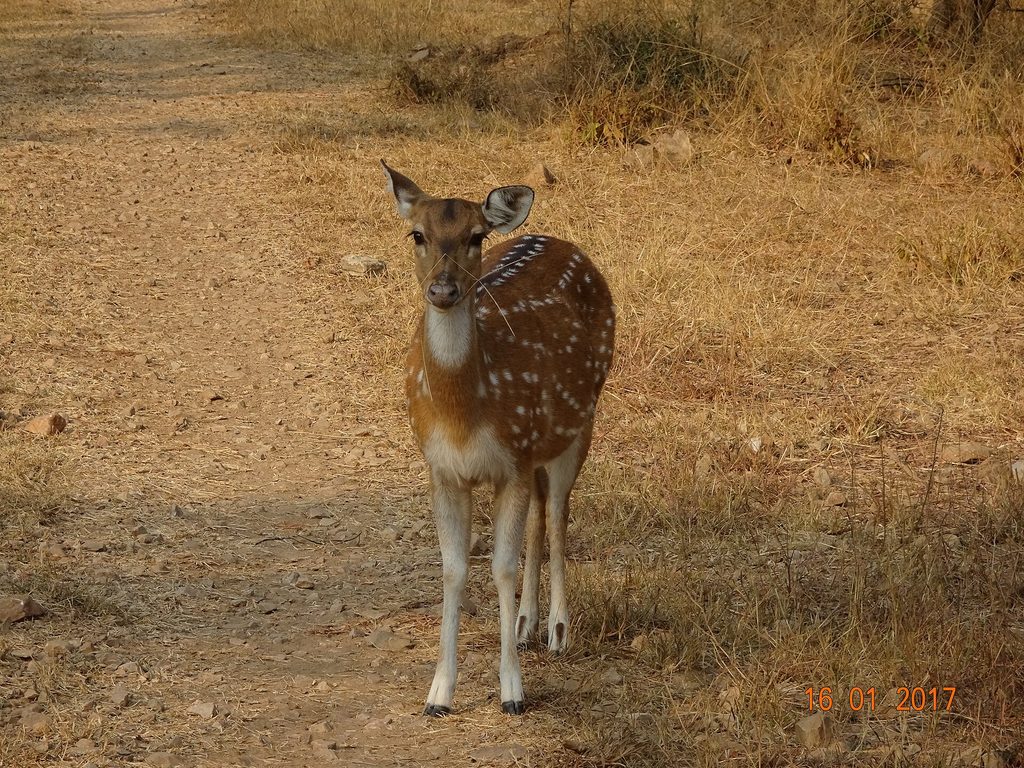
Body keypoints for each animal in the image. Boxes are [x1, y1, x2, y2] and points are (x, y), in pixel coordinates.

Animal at [381, 161, 615, 717]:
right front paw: (439, 693)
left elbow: (502, 567)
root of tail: (562, 242)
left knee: (558, 513)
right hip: (537, 448)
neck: (464, 413)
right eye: (417, 234)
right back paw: (527, 625)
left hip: (581, 419)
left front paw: (513, 692)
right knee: (539, 512)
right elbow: (454, 568)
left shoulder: (511, 460)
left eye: (475, 236)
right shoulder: (443, 469)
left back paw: (556, 630)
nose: (443, 291)